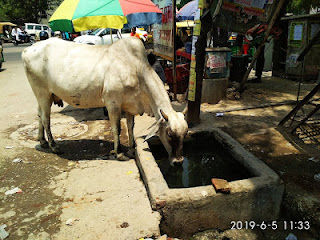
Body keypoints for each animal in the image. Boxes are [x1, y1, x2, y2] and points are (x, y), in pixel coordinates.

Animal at [22, 37, 189, 166]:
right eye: (169, 133)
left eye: (186, 133)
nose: (179, 162)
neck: (136, 68)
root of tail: (28, 50)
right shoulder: (112, 103)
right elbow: (117, 128)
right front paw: (119, 153)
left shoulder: (130, 106)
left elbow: (130, 127)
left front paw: (131, 148)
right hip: (42, 92)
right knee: (46, 119)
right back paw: (53, 145)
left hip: (44, 95)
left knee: (39, 115)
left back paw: (42, 141)